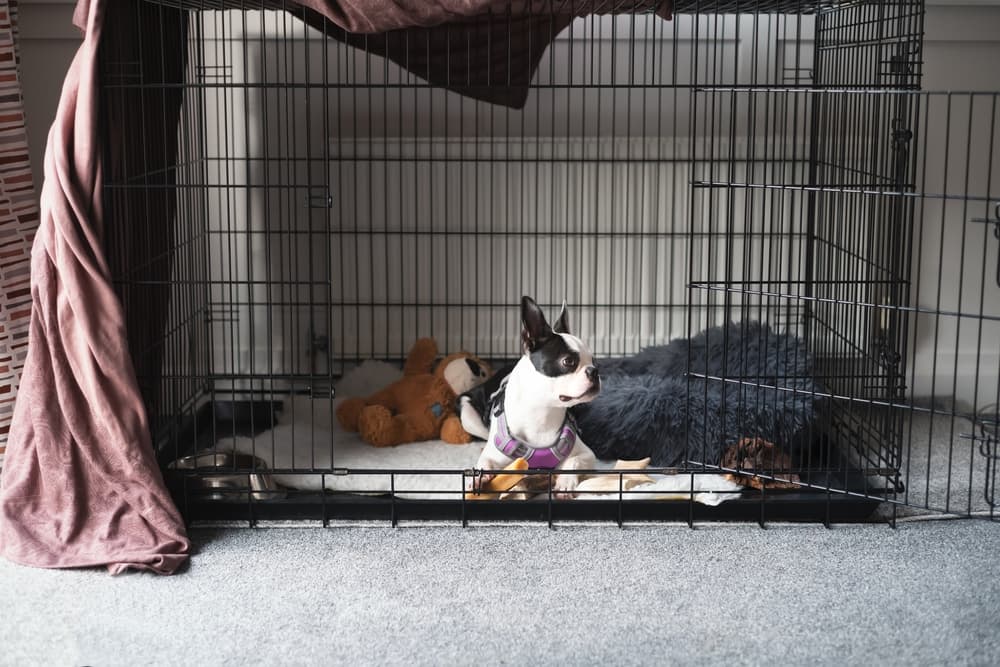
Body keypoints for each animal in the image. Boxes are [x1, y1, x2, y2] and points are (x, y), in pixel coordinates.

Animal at [460, 296, 600, 496]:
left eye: (594, 361)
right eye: (568, 361)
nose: (594, 371)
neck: (543, 412)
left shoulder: (587, 454)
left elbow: (573, 462)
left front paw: (565, 483)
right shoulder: (492, 456)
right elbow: (485, 462)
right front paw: (477, 478)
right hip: (467, 414)